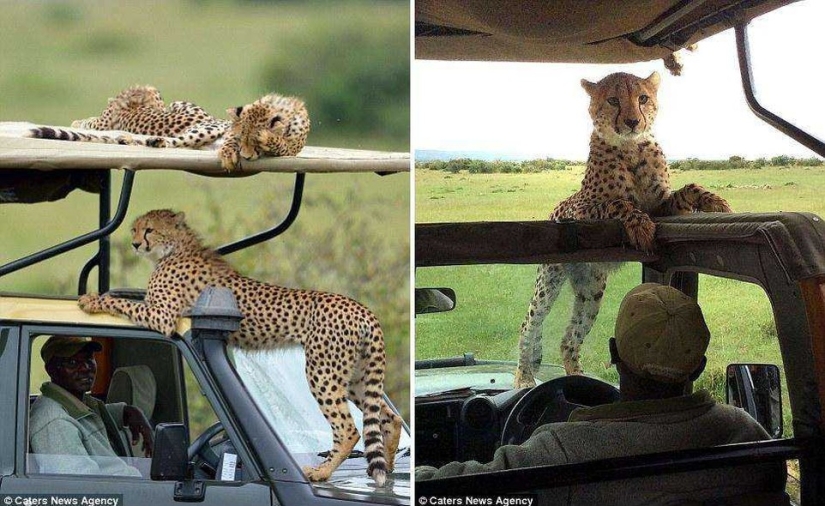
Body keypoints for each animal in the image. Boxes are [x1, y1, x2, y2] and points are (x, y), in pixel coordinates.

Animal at [28, 85, 310, 172]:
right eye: (242, 139)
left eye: (255, 144)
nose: (247, 156)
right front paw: (230, 153)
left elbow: (280, 144)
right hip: (203, 129)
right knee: (169, 142)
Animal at [77, 209, 402, 486]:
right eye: (134, 229)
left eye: (149, 229)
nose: (134, 243)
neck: (177, 247)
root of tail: (362, 308)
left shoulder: (163, 316)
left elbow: (123, 302)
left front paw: (93, 299)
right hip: (356, 376)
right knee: (388, 417)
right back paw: (387, 467)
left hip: (323, 372)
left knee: (349, 428)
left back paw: (322, 472)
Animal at [513, 71, 731, 388]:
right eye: (614, 100)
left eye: (643, 98)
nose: (632, 122)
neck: (632, 147)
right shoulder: (584, 209)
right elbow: (618, 203)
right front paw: (640, 226)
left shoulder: (661, 206)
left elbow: (688, 189)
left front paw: (715, 200)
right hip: (549, 282)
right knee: (529, 324)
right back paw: (524, 378)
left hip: (591, 292)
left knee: (569, 339)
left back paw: (577, 379)